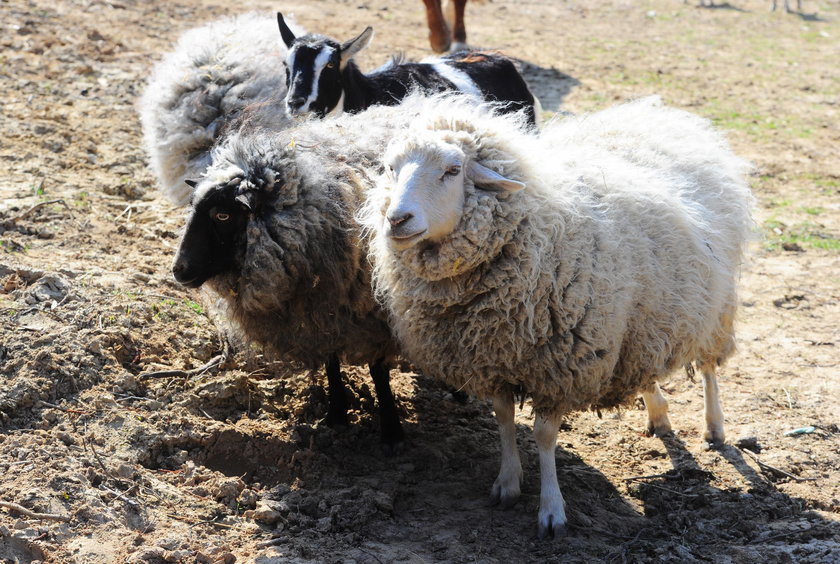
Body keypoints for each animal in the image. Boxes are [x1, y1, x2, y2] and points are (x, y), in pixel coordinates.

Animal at [364, 96, 756, 536]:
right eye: (391, 168)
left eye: (452, 170)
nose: (397, 219)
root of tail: (657, 112)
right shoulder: (493, 358)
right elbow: (503, 419)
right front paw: (507, 482)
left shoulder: (558, 366)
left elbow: (545, 435)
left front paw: (551, 509)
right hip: (641, 315)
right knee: (646, 364)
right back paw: (658, 413)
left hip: (716, 304)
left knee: (708, 367)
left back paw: (715, 426)